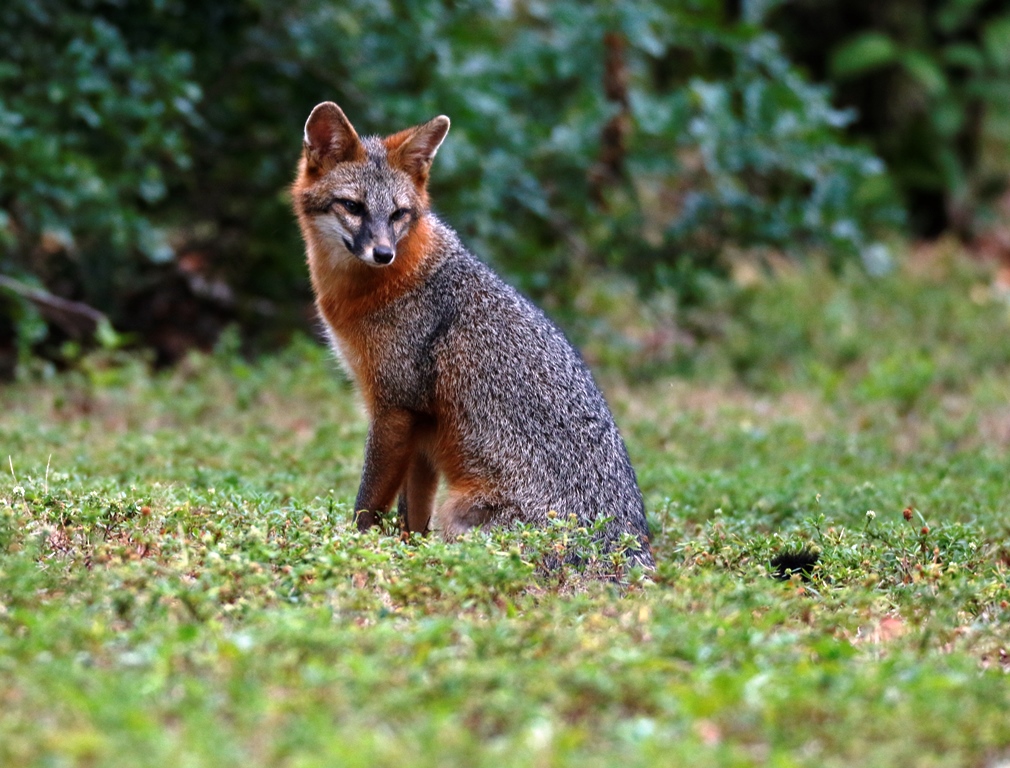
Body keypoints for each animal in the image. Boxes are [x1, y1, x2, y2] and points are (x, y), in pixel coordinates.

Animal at [291, 102, 654, 569]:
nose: (383, 253)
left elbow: (369, 503)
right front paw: (406, 554)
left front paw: (354, 548)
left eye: (398, 214)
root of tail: (631, 557)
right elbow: (412, 517)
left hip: (460, 513)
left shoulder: (395, 407)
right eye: (352, 206)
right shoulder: (421, 424)